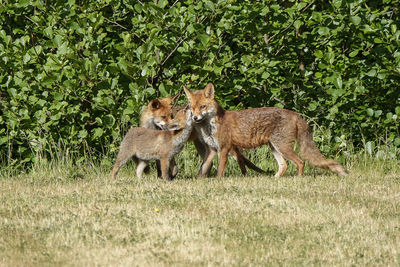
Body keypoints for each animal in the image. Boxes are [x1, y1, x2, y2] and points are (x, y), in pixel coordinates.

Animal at [139, 95, 268, 177]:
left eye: (172, 116)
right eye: (164, 117)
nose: (171, 126)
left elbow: (170, 166)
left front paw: (169, 176)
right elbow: (161, 166)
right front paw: (162, 177)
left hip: (221, 145)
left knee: (239, 157)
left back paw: (244, 174)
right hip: (204, 145)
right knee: (210, 163)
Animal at [183, 82, 348, 177]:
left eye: (203, 107)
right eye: (192, 108)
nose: (195, 118)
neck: (211, 125)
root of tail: (295, 113)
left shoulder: (224, 147)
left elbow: (220, 169)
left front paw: (218, 181)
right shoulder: (212, 149)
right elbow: (204, 168)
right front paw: (200, 181)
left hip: (282, 146)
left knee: (300, 162)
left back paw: (298, 179)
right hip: (274, 146)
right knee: (284, 165)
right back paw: (274, 179)